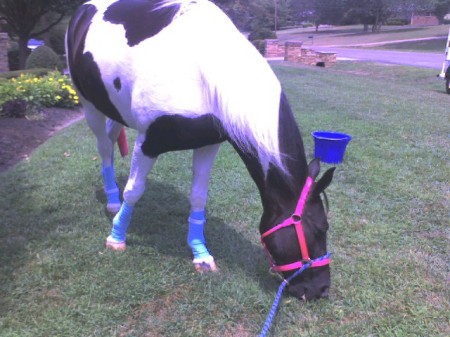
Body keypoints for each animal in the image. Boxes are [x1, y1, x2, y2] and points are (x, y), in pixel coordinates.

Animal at [66, 0, 334, 300]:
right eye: (320, 228)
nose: (321, 289)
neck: (201, 69)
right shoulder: (148, 142)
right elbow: (134, 191)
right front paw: (116, 237)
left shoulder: (208, 144)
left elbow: (198, 198)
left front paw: (200, 253)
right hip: (89, 106)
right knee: (104, 150)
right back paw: (112, 199)